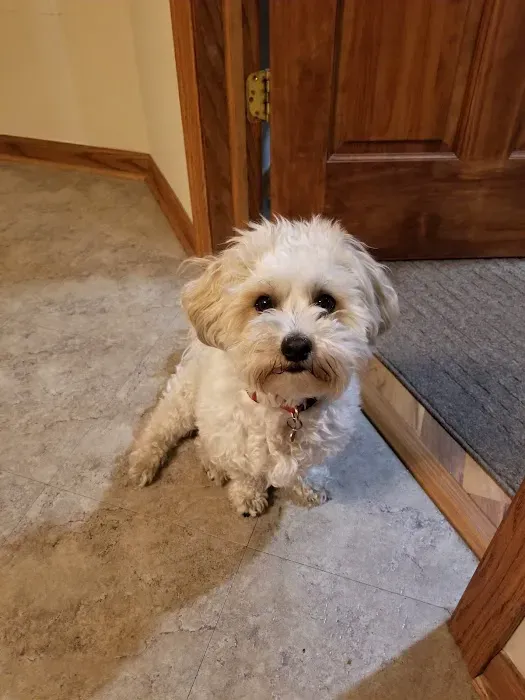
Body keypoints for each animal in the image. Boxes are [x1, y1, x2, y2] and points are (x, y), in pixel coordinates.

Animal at [128, 216, 398, 516]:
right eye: (263, 302)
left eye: (325, 301)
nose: (296, 346)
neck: (287, 403)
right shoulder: (237, 441)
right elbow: (246, 473)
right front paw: (247, 495)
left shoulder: (316, 446)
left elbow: (307, 468)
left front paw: (308, 487)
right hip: (184, 400)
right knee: (161, 426)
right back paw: (145, 461)